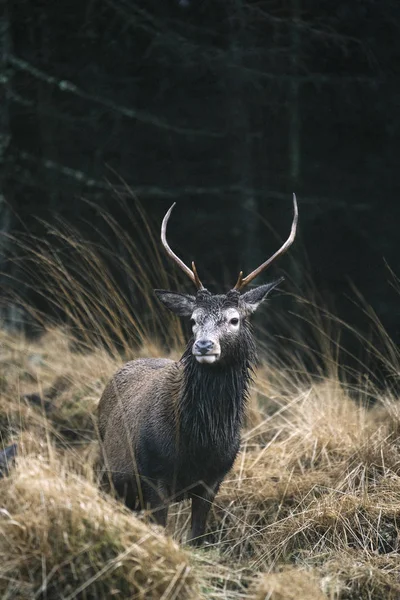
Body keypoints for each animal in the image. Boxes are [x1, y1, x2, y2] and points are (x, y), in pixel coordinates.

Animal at [97, 196, 296, 544]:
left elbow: (197, 538)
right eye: (192, 320)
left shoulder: (213, 480)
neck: (198, 444)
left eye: (234, 319)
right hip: (110, 471)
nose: (203, 345)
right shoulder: (154, 477)